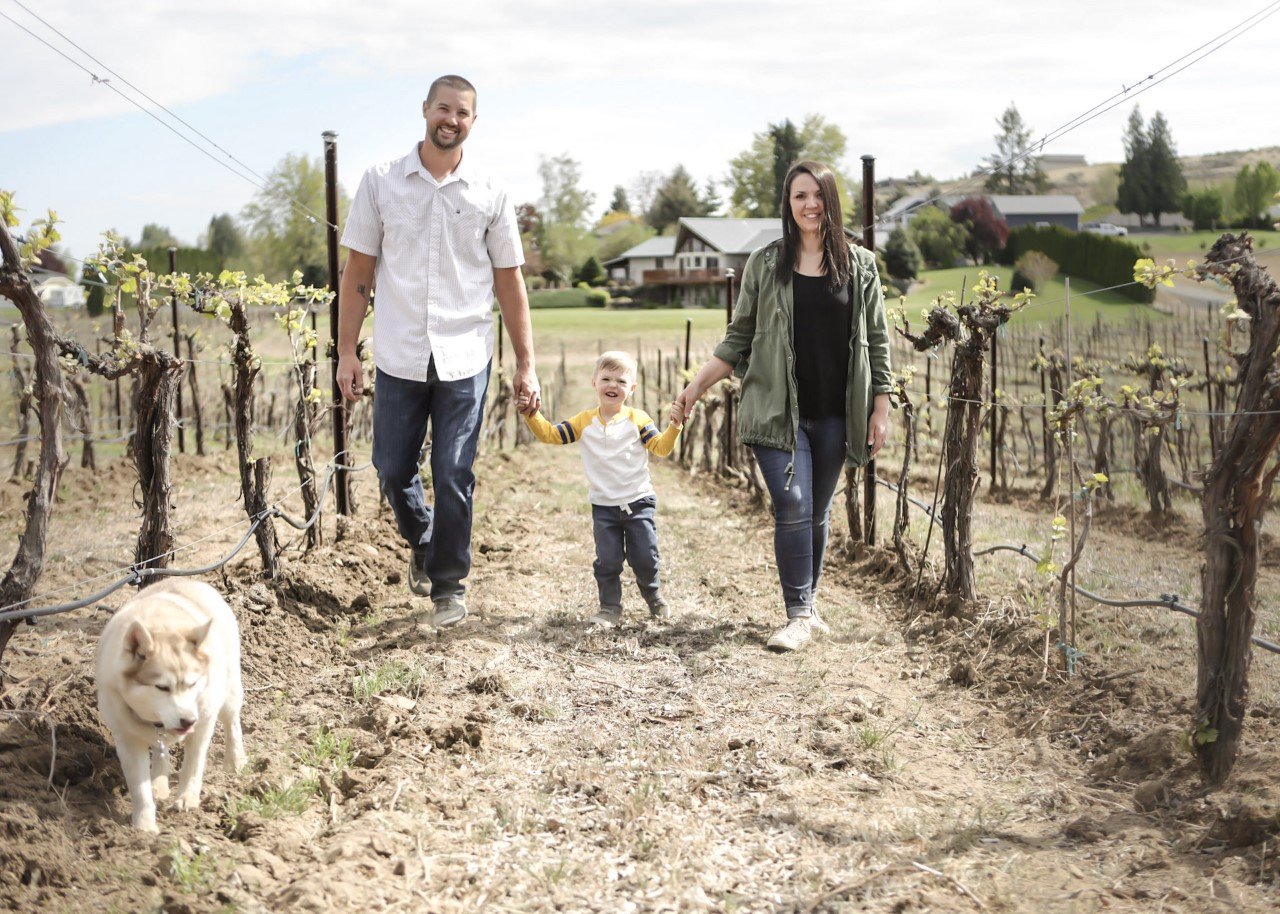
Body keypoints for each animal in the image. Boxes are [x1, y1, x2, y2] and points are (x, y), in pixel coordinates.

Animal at [94, 581, 247, 829]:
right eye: (162, 687)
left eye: (192, 683)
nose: (188, 720)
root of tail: (192, 582)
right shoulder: (127, 738)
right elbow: (139, 787)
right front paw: (144, 827)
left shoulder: (203, 722)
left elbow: (193, 764)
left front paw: (187, 798)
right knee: (160, 750)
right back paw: (159, 784)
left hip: (230, 688)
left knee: (231, 721)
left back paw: (235, 761)